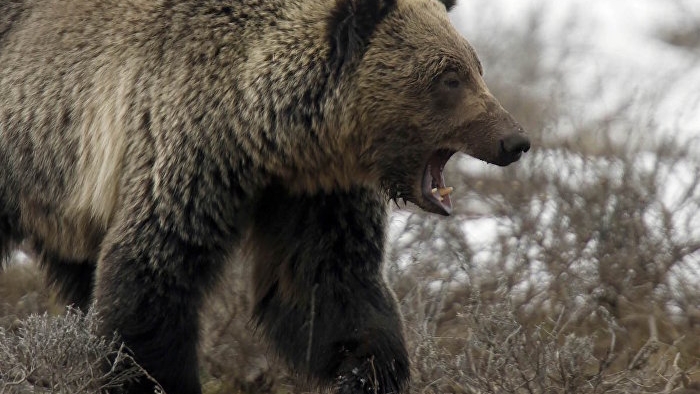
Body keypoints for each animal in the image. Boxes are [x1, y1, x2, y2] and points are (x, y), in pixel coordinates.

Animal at [0, 0, 528, 392]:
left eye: (475, 66)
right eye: (449, 77)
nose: (514, 140)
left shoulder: (314, 193)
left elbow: (328, 285)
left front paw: (367, 371)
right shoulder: (186, 152)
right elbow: (152, 277)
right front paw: (148, 376)